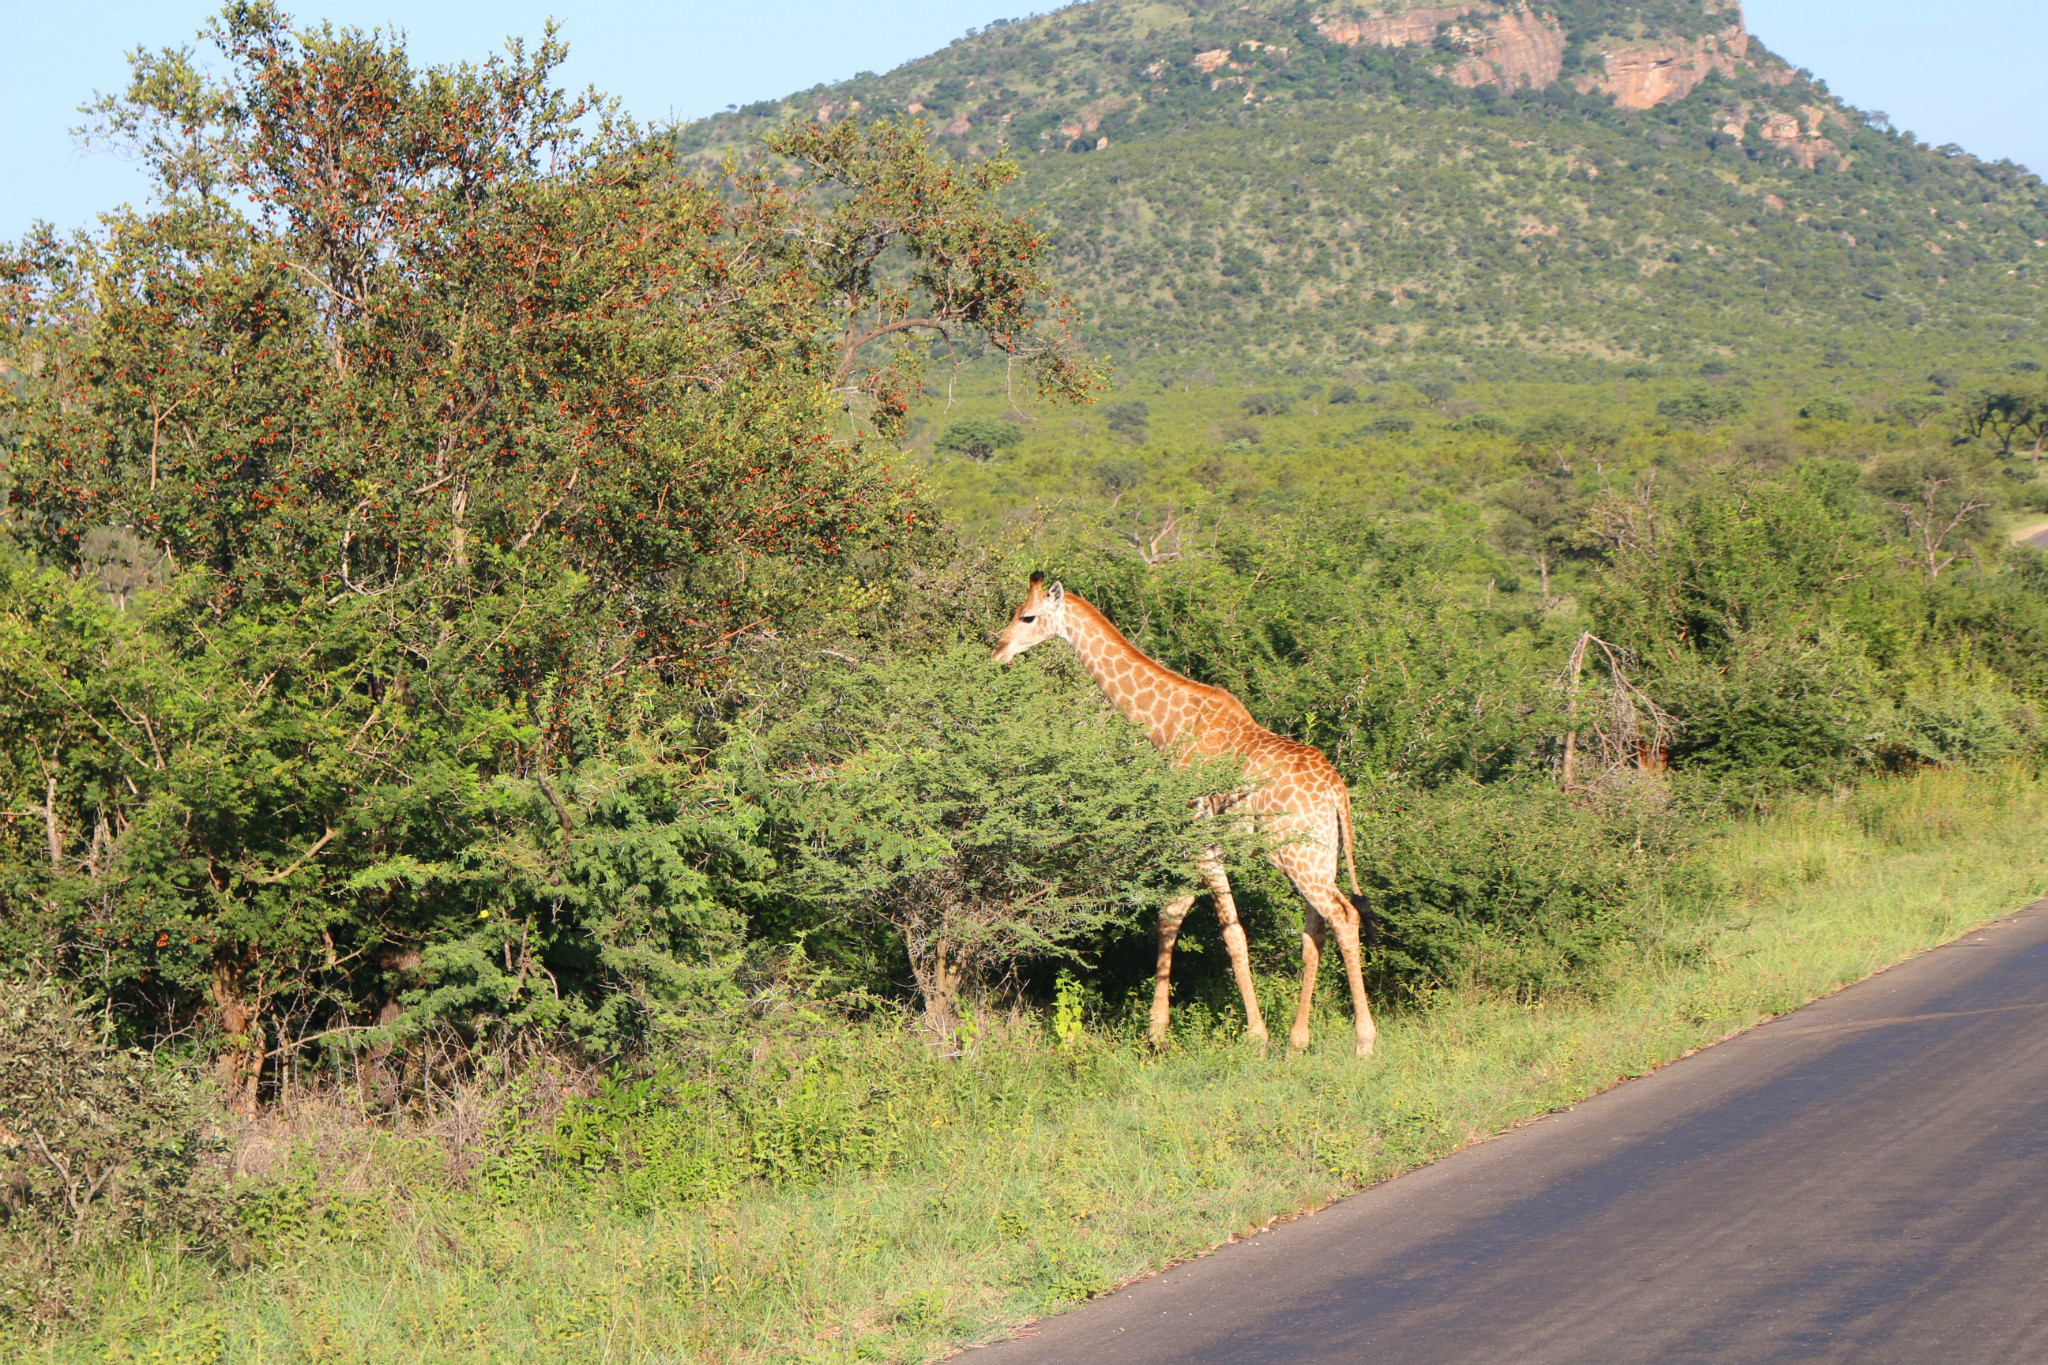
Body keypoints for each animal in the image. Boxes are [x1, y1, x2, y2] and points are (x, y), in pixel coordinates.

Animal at [987, 573, 1376, 1055]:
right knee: (1315, 930)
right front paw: (1157, 1031)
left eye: (1027, 616)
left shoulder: (1199, 833)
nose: (997, 649)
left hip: (1299, 858)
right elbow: (1170, 914)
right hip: (1317, 856)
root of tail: (1338, 792)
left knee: (1344, 917)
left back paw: (1363, 1042)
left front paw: (1255, 1036)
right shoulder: (1196, 843)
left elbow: (1231, 932)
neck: (1167, 725)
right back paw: (1298, 1040)